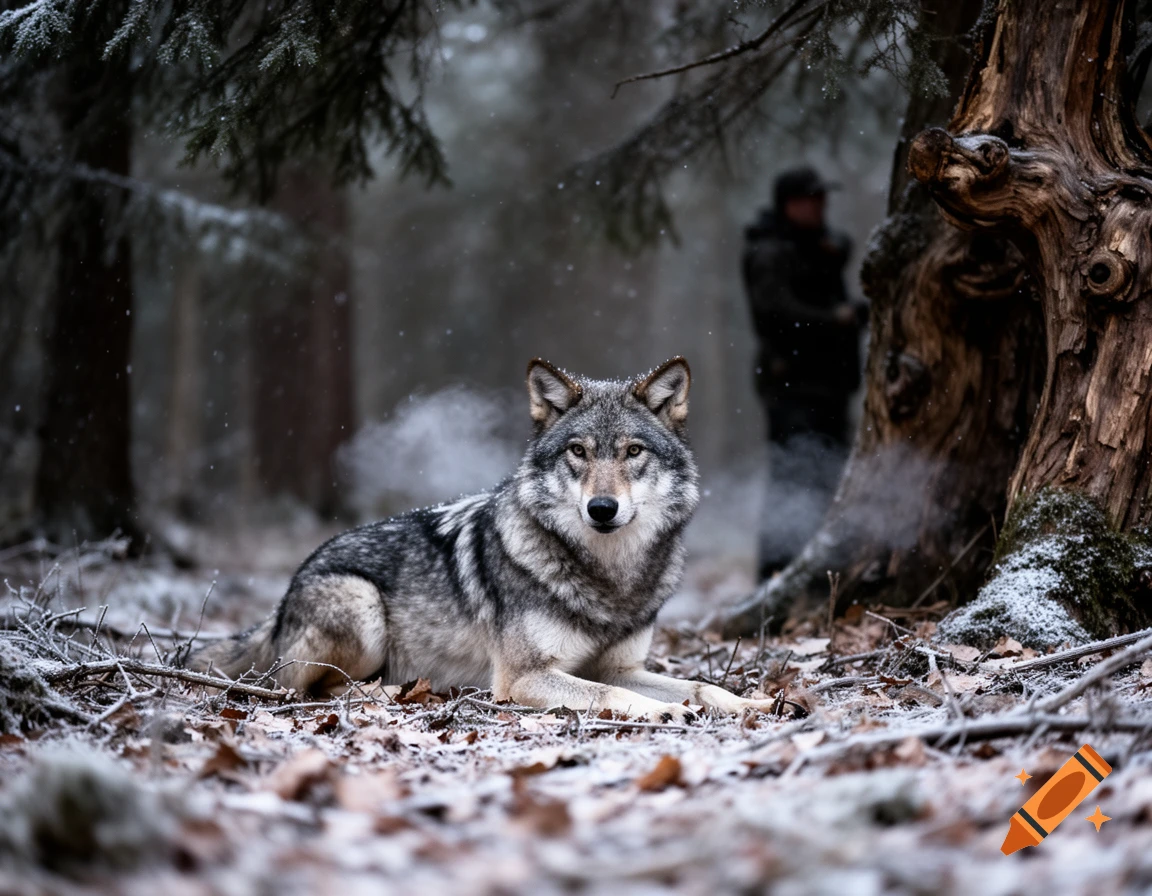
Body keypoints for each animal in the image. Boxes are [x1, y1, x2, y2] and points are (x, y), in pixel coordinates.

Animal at [189, 357, 774, 722]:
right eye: (578, 452)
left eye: (633, 452)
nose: (601, 508)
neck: (608, 578)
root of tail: (285, 594)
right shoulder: (524, 678)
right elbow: (606, 694)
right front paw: (664, 711)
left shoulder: (621, 666)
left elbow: (698, 684)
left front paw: (747, 703)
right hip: (361, 604)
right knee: (315, 689)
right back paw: (397, 689)